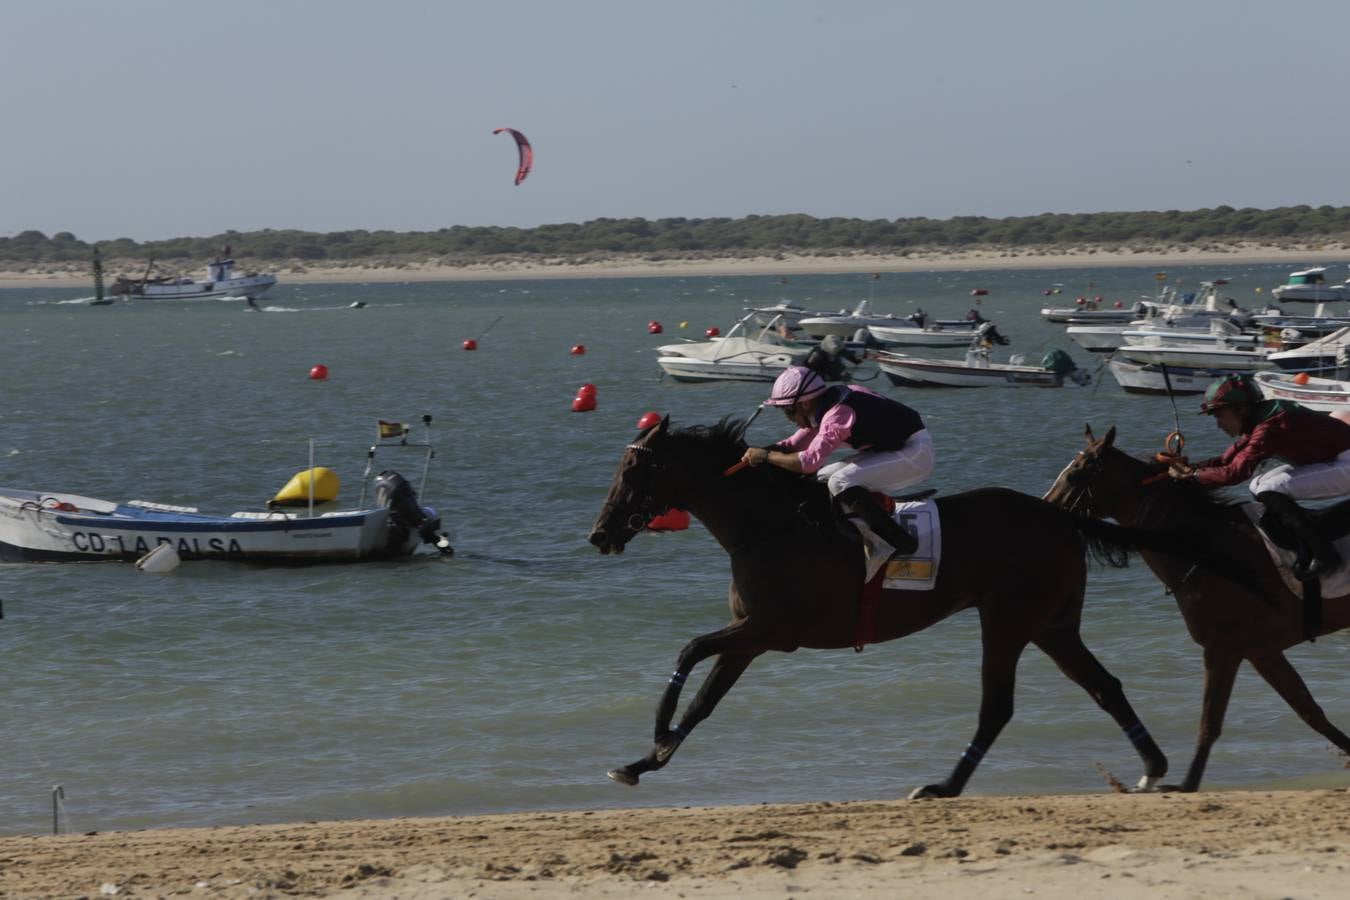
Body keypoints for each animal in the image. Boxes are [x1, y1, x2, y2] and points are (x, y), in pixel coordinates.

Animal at [585, 418, 1177, 798]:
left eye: (632, 471)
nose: (599, 534)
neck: (769, 525)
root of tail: (1060, 516)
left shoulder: (771, 629)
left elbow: (689, 651)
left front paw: (657, 736)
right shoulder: (749, 635)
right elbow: (703, 701)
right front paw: (645, 760)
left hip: (1008, 618)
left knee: (998, 706)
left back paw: (943, 786)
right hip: (1051, 623)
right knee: (1103, 685)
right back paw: (1152, 767)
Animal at [1042, 426, 1350, 793]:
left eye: (1076, 473)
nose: (1043, 510)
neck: (1212, 551)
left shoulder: (1222, 649)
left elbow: (1209, 723)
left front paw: (1185, 784)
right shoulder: (1261, 651)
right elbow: (1309, 711)